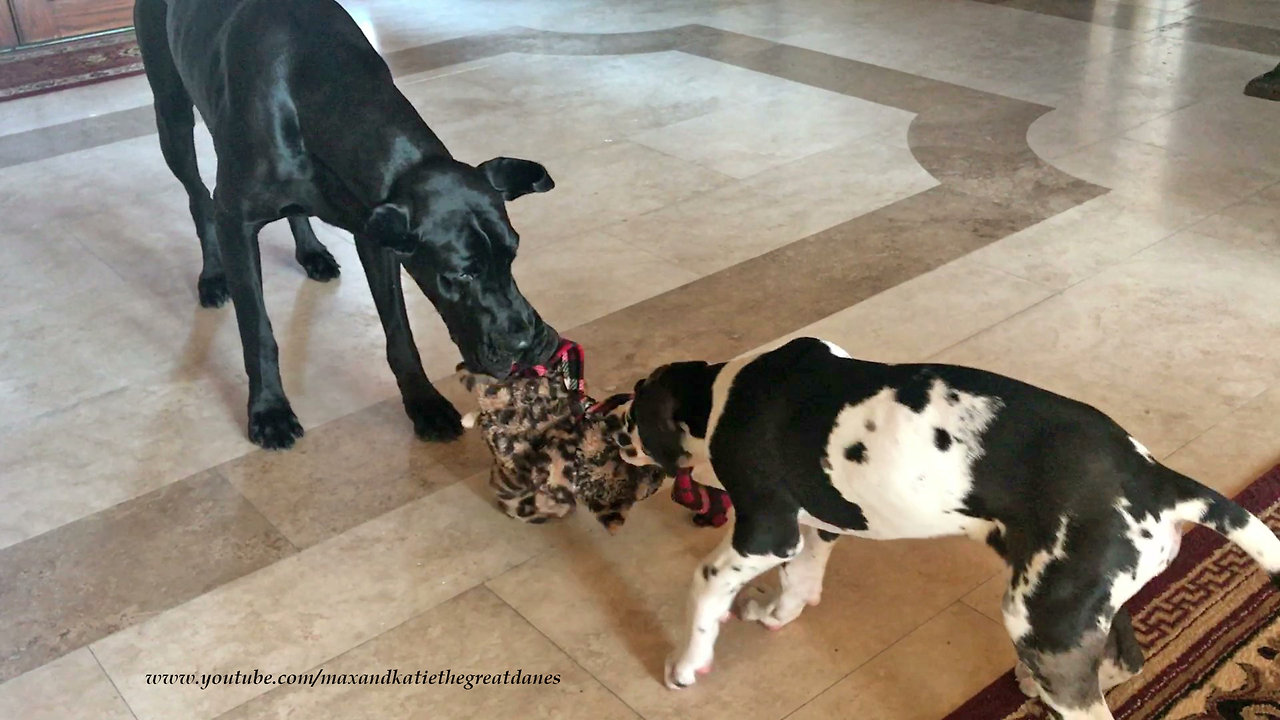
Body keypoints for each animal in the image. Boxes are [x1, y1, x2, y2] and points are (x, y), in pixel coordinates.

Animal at [614, 335, 1274, 717]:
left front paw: (687, 663)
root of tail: (1156, 478)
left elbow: (705, 585)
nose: (612, 420)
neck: (718, 397)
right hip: (1075, 606)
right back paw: (1034, 682)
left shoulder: (764, 530)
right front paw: (776, 614)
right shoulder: (816, 523)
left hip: (1043, 616)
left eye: (633, 416)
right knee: (1122, 659)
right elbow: (800, 582)